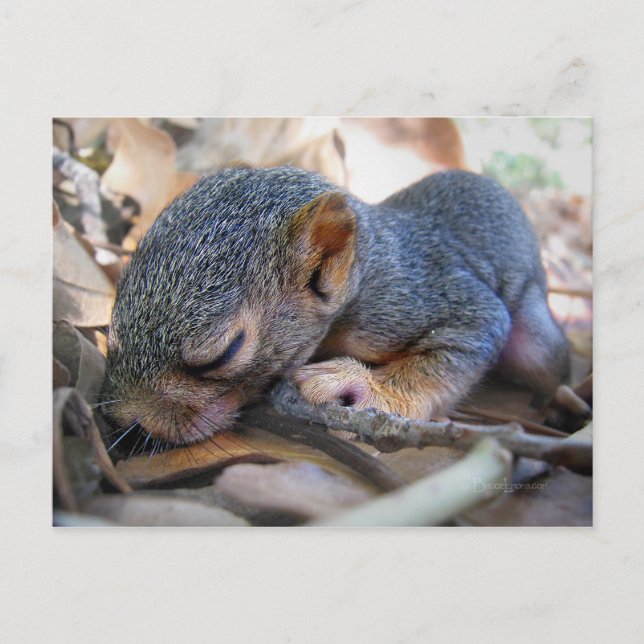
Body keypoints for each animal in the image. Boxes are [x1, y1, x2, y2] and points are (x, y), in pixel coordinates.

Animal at [101, 166, 569, 446]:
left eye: (223, 353)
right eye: (111, 328)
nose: (127, 420)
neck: (364, 274)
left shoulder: (411, 300)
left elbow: (468, 337)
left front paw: (364, 386)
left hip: (535, 338)